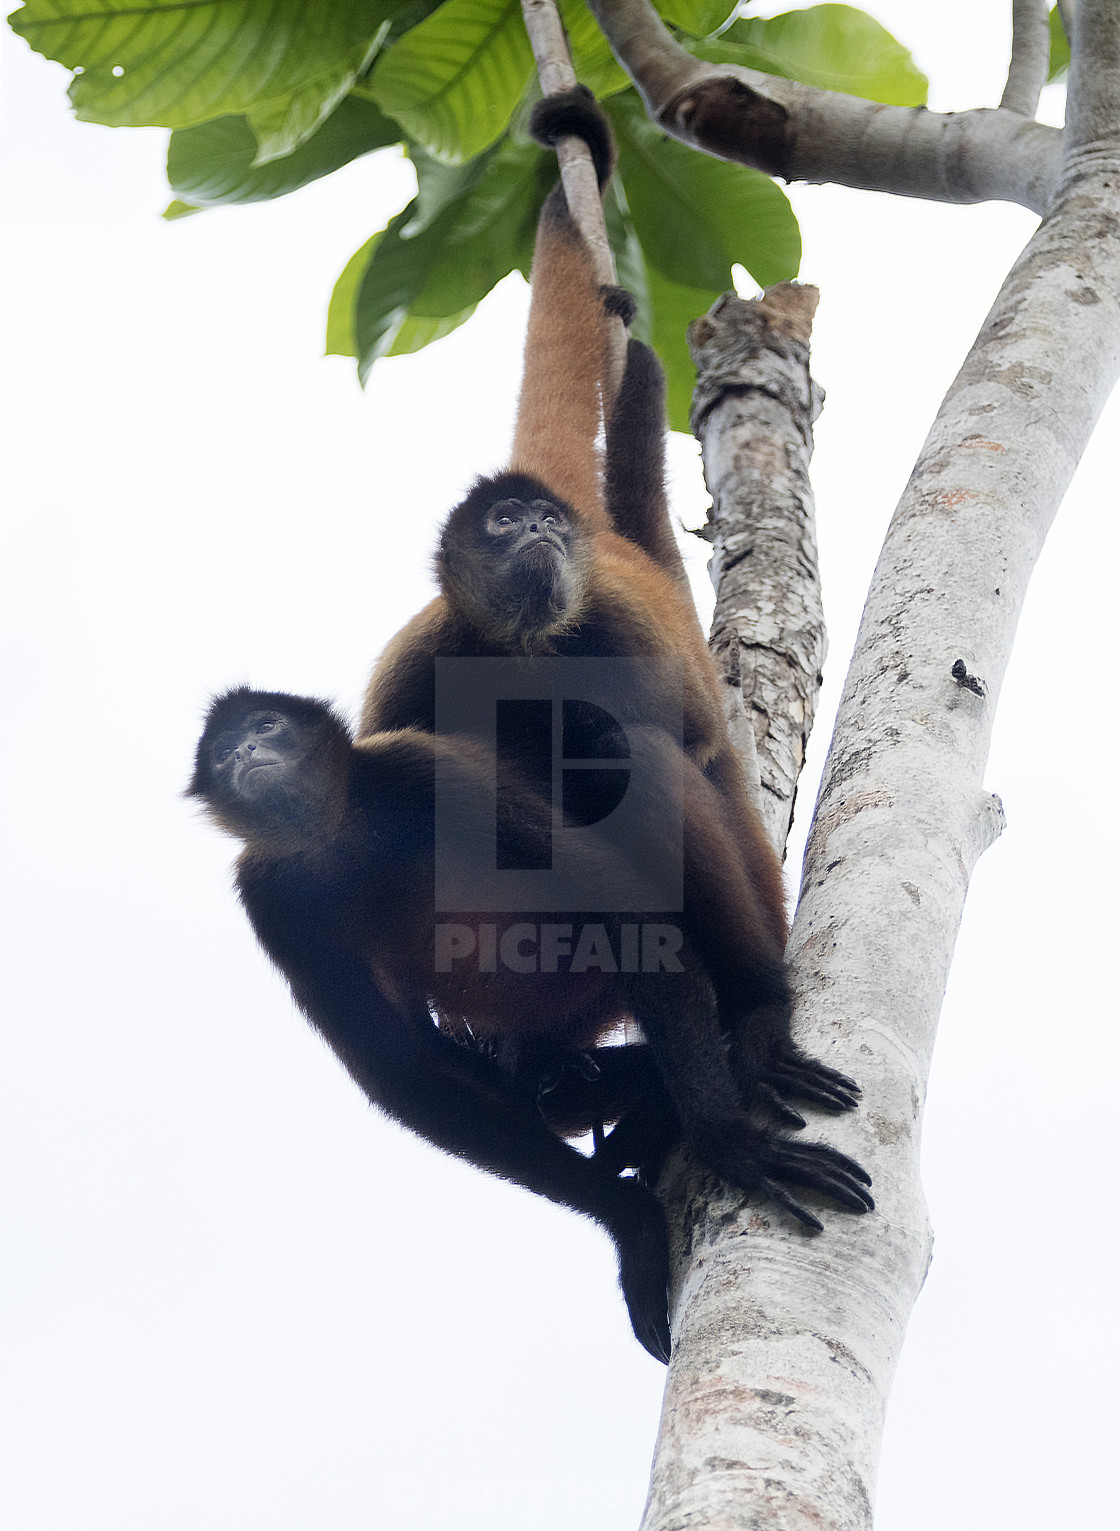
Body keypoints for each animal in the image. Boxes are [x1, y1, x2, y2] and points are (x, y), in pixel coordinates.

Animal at [362, 86, 862, 1151]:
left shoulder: (619, 628)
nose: (541, 528)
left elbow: (680, 749)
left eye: (542, 522)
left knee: (630, 753)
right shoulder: (423, 652)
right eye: (503, 523)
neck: (523, 653)